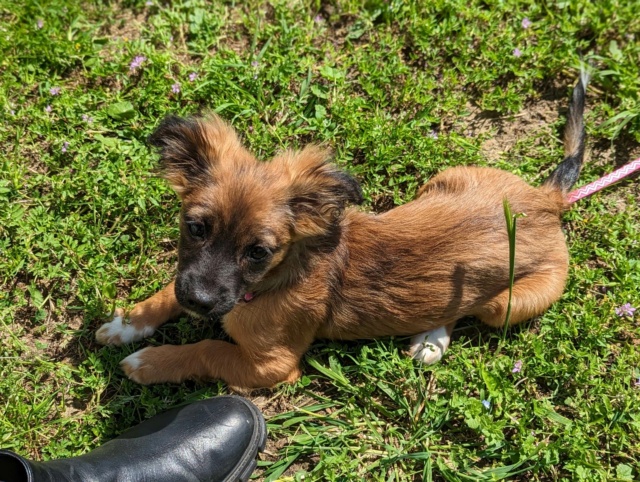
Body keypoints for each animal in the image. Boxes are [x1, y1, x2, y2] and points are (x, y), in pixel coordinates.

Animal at [92, 77, 588, 390]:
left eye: (258, 251)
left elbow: (206, 347)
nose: (199, 302)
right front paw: (127, 323)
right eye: (195, 227)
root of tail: (548, 201)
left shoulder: (271, 366)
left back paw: (432, 340)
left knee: (474, 306)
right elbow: (167, 292)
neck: (272, 281)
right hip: (442, 180)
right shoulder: (191, 279)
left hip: (509, 304)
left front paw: (151, 360)